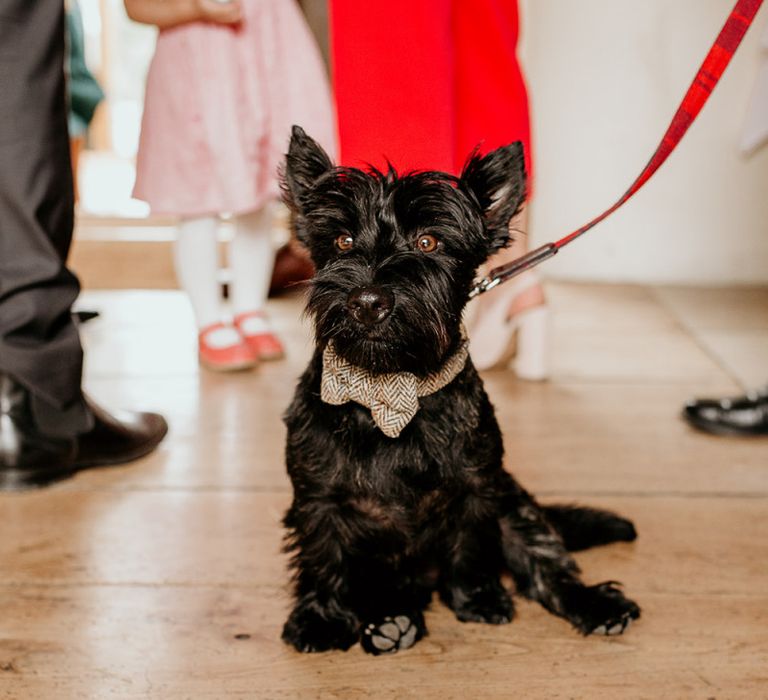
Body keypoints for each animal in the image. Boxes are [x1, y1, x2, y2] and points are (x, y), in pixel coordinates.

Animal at [280, 127, 640, 656]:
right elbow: (324, 557)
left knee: (549, 567)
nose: (366, 301)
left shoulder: (476, 487)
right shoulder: (319, 498)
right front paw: (321, 618)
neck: (390, 390)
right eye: (343, 241)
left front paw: (478, 598)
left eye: (429, 241)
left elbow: (471, 546)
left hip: (517, 510)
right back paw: (392, 622)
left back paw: (595, 604)